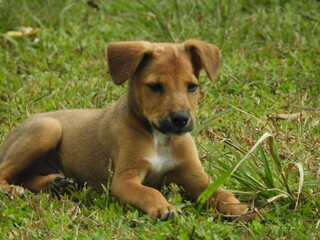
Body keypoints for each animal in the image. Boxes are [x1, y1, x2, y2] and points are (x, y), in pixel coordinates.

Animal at [0, 39, 255, 221]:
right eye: (155, 87)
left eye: (192, 87)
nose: (180, 119)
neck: (159, 138)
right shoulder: (125, 180)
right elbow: (149, 192)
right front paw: (164, 207)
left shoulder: (194, 176)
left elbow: (221, 192)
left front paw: (240, 209)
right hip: (47, 128)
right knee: (6, 171)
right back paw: (12, 190)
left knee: (25, 176)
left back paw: (56, 183)